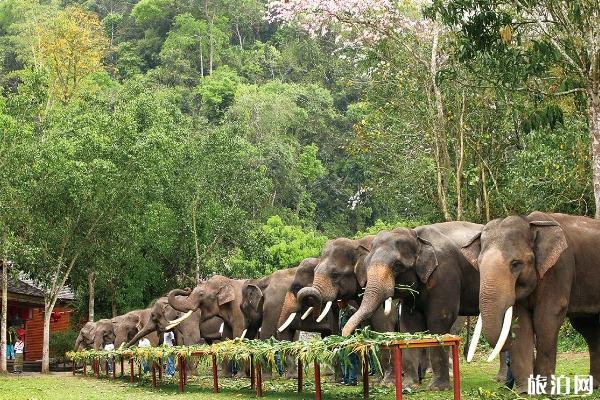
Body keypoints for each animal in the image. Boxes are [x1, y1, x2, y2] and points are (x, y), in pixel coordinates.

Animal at [462, 211, 600, 392]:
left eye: (516, 264)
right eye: (478, 264)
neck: (529, 222)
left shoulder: (559, 267)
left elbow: (546, 318)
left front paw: (545, 391)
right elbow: (520, 322)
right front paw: (526, 391)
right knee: (589, 329)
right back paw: (591, 387)